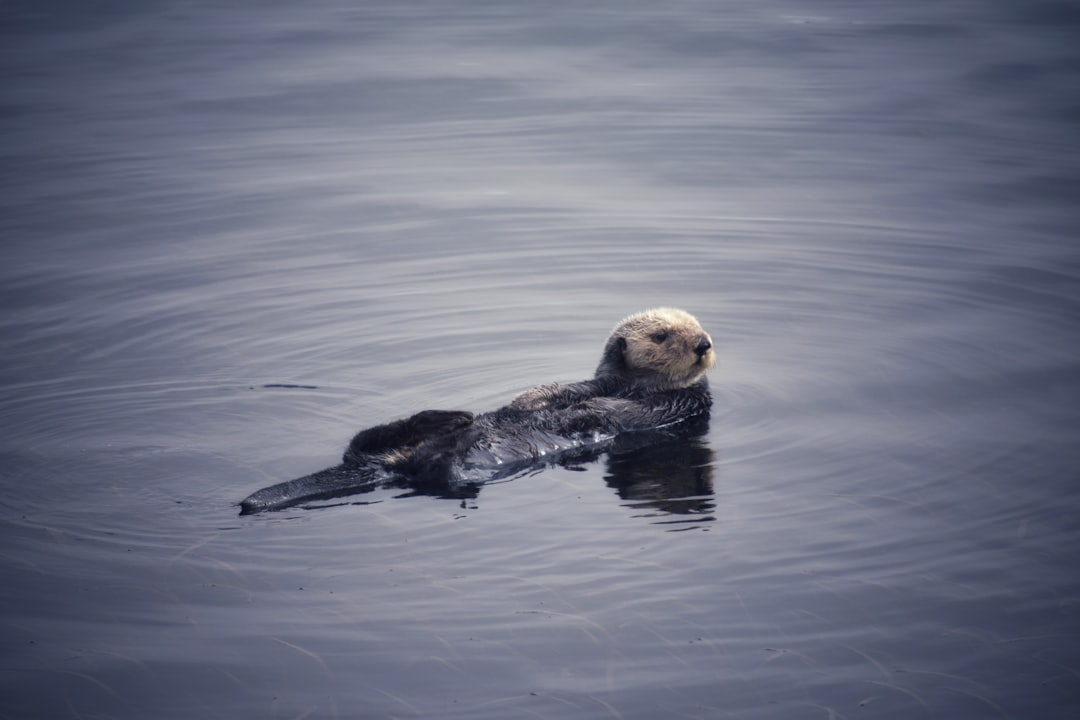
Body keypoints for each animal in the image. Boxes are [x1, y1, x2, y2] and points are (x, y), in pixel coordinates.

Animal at [239, 308, 715, 514]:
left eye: (697, 328)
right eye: (661, 335)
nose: (703, 343)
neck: (632, 385)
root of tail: (387, 464)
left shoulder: (681, 406)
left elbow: (621, 411)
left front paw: (586, 413)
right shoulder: (595, 381)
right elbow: (562, 389)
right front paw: (528, 402)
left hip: (448, 470)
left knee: (439, 471)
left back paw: (456, 432)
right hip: (385, 448)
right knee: (370, 439)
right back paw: (449, 419)